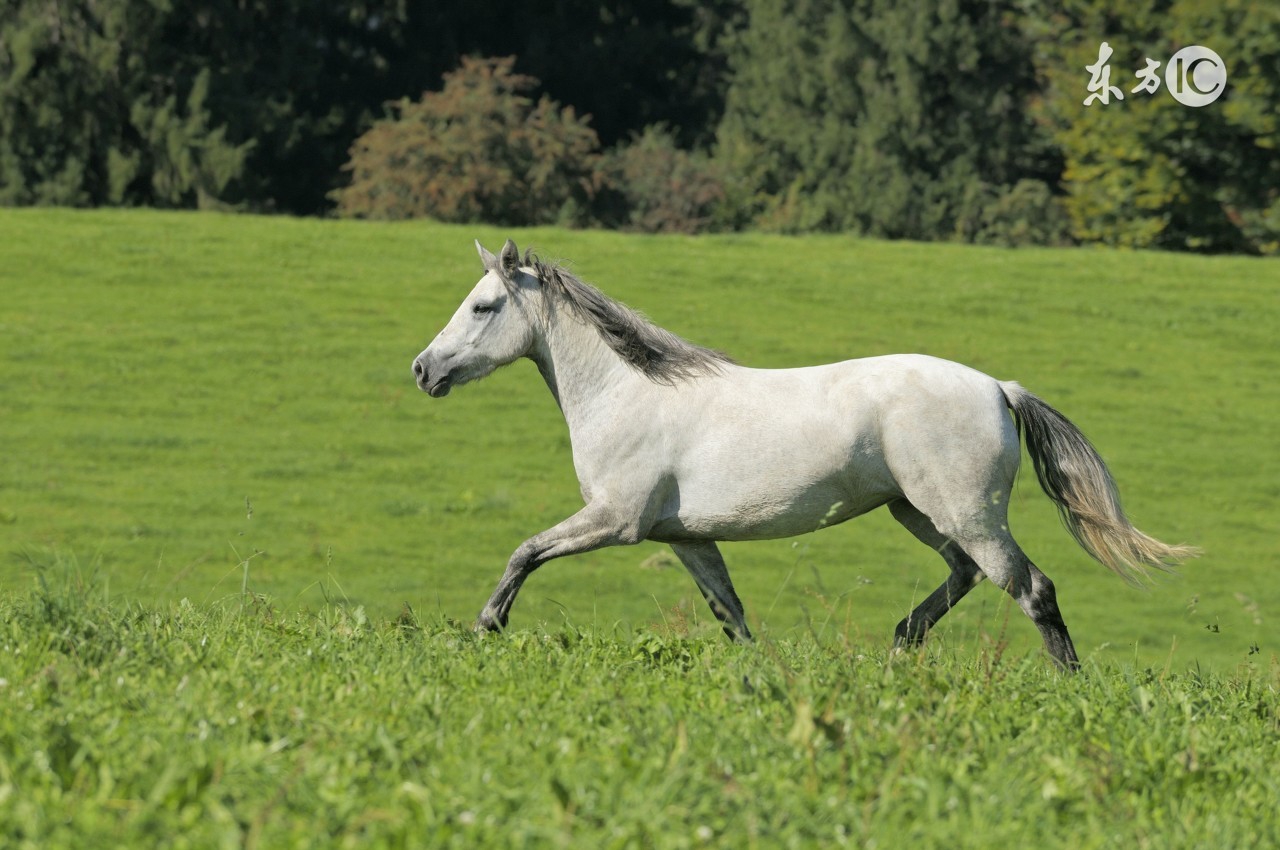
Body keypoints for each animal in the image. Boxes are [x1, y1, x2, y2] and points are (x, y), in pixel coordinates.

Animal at [412, 240, 1198, 670]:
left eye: (483, 306)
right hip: (919, 512)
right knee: (967, 575)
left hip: (966, 512)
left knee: (1031, 589)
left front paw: (487, 625)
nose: (423, 370)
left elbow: (525, 551)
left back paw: (1068, 687)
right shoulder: (685, 539)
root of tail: (998, 388)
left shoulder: (616, 519)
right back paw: (900, 645)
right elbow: (731, 615)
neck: (626, 392)